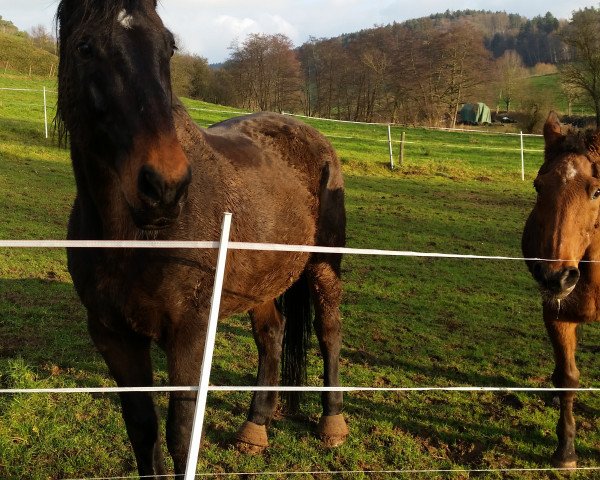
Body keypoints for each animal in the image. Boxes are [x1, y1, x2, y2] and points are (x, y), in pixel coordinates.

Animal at [56, 0, 346, 476]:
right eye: (84, 46)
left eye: (168, 47)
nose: (164, 186)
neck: (134, 238)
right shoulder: (114, 337)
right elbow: (144, 433)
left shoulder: (190, 335)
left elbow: (181, 436)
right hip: (261, 281)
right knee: (272, 335)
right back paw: (255, 428)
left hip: (325, 265)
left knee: (329, 331)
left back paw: (333, 423)